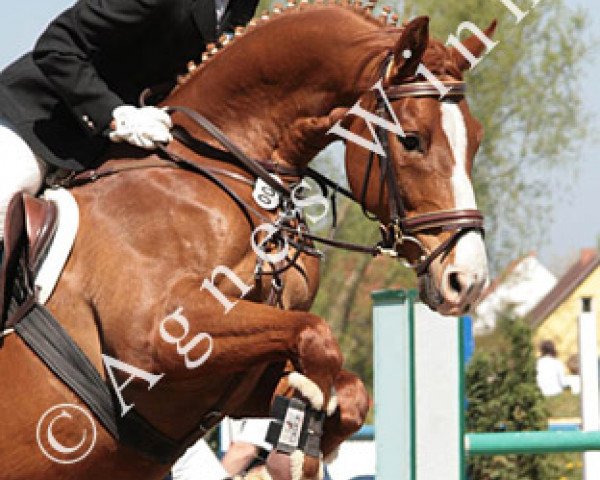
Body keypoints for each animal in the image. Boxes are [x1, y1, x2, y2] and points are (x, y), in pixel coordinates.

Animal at [0, 3, 488, 480]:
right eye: (412, 140)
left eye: (477, 139)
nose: (468, 281)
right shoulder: (157, 338)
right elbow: (317, 334)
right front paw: (296, 443)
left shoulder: (235, 377)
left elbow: (346, 389)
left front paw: (307, 433)